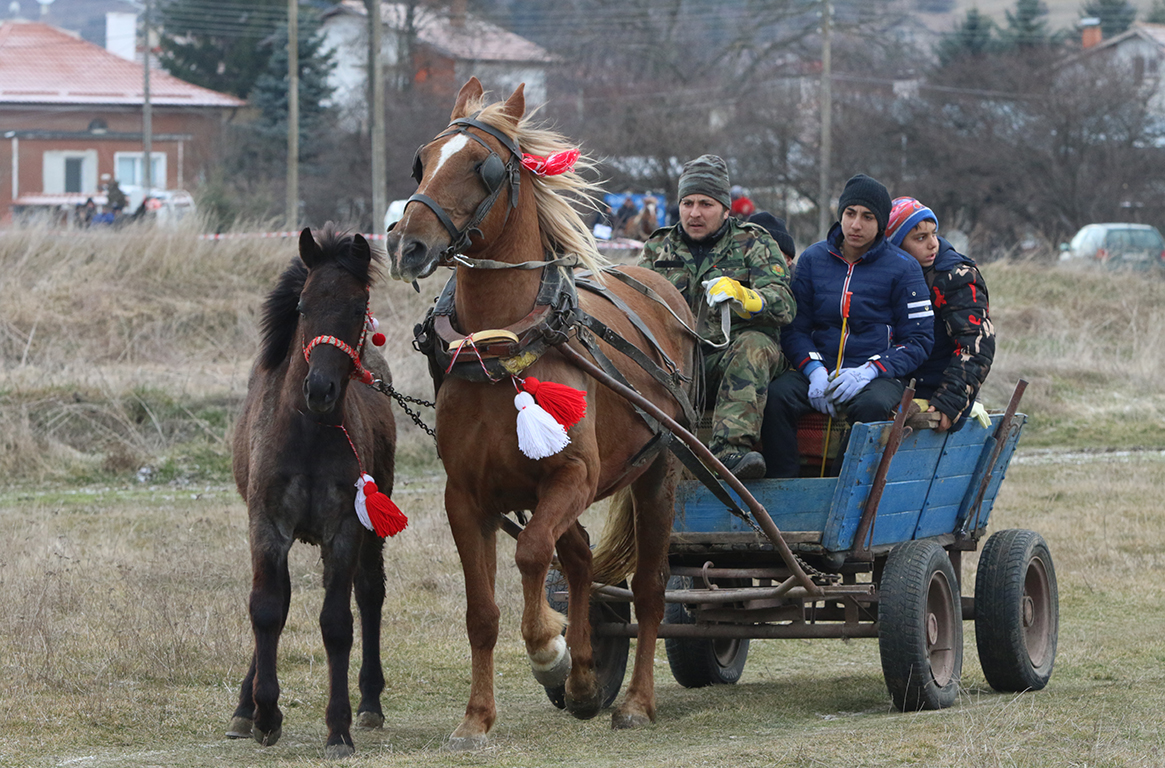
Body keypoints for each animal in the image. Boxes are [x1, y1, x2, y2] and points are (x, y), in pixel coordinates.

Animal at [227, 224, 400, 759]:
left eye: (358, 306)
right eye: (303, 306)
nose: (320, 388)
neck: (307, 433)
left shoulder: (345, 527)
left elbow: (337, 623)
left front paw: (338, 728)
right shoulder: (265, 524)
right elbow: (266, 610)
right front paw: (263, 713)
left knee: (369, 592)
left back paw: (370, 701)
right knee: (277, 601)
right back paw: (245, 708)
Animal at [386, 79, 694, 750]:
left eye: (484, 166)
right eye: (421, 161)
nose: (406, 244)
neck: (501, 345)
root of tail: (661, 288)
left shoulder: (572, 475)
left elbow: (530, 555)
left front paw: (548, 650)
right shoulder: (465, 496)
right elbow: (482, 611)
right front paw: (477, 717)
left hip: (657, 471)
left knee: (648, 589)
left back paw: (633, 699)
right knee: (577, 558)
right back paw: (584, 680)